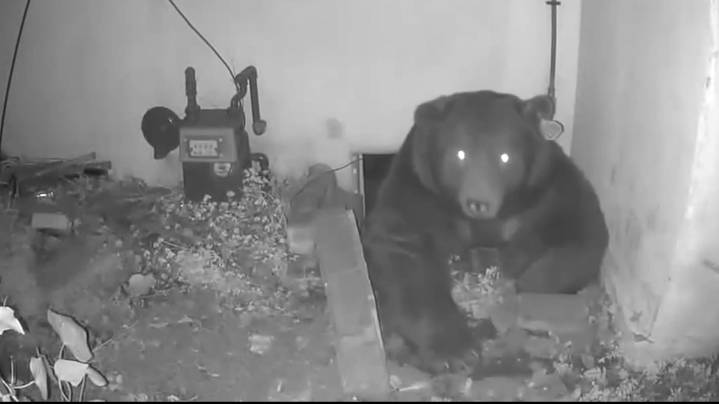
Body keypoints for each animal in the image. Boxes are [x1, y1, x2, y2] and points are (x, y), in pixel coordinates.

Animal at [361, 90, 609, 374]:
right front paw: (455, 350)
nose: (479, 202)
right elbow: (403, 251)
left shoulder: (546, 190)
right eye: (460, 154)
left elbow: (582, 233)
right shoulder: (417, 190)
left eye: (505, 157)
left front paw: (516, 290)